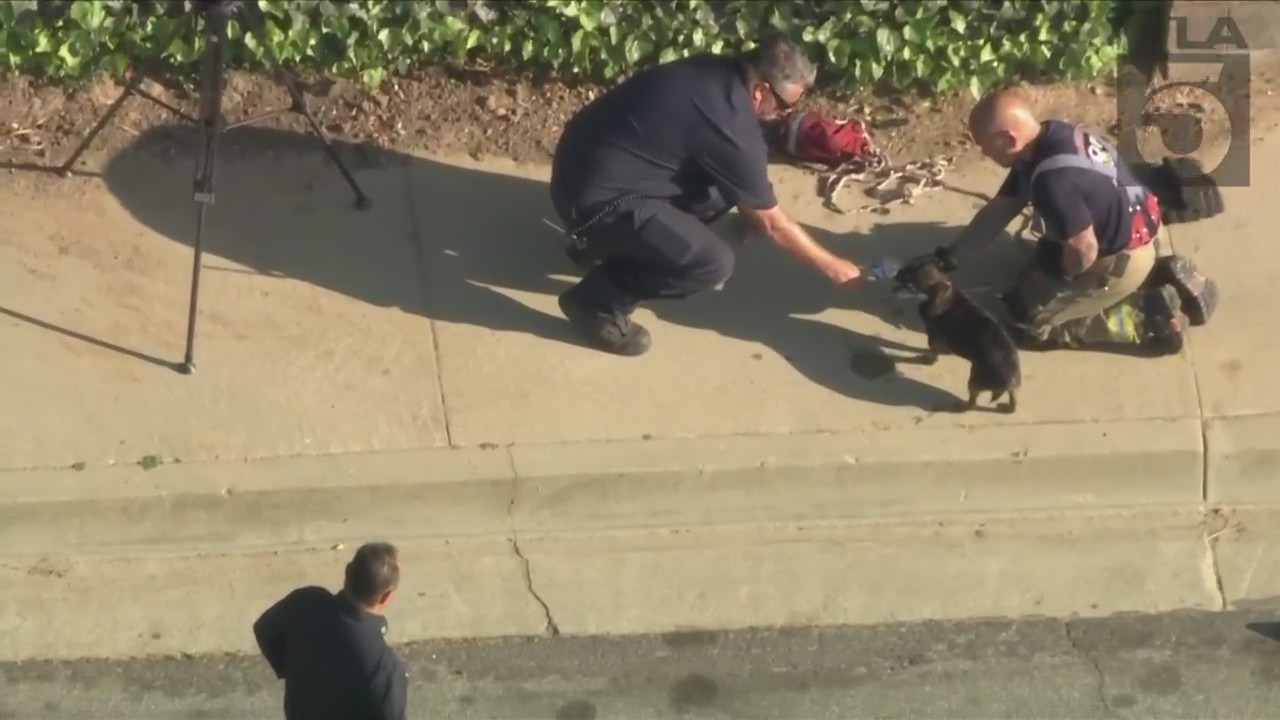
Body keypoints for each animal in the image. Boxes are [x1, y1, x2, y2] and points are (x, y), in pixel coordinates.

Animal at [896, 249, 1024, 412]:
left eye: (912, 268)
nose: (898, 271)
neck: (940, 288)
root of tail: (1008, 379)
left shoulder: (933, 335)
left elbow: (933, 351)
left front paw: (928, 359)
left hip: (975, 380)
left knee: (973, 401)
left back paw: (962, 405)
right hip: (1014, 387)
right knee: (1014, 400)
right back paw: (1007, 408)